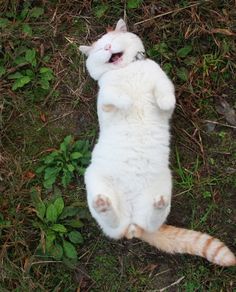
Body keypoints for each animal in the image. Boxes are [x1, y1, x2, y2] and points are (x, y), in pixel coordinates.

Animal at [79, 18, 236, 266]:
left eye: (112, 39)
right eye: (99, 48)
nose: (107, 47)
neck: (127, 69)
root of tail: (133, 224)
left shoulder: (161, 83)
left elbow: (165, 93)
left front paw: (163, 100)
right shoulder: (105, 100)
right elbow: (114, 97)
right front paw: (126, 100)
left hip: (162, 185)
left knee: (149, 220)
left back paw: (157, 203)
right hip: (96, 181)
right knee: (113, 226)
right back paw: (104, 206)